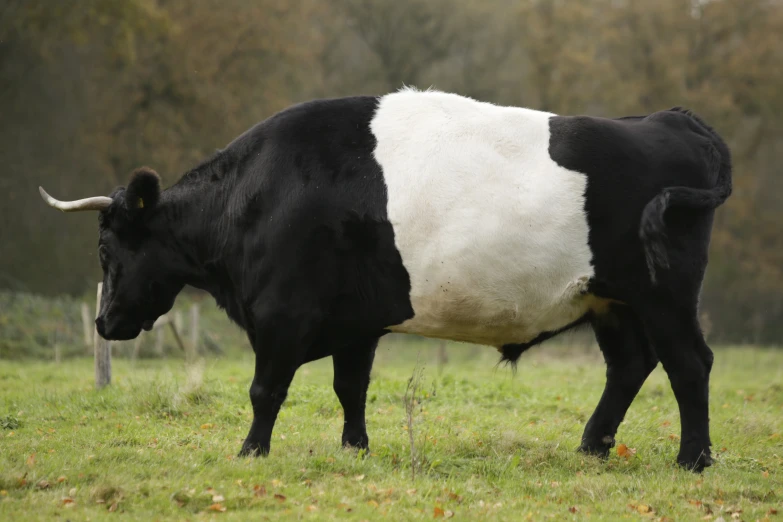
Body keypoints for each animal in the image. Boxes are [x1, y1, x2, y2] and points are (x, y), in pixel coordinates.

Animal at [39, 87, 732, 470]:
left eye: (105, 246)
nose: (104, 321)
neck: (259, 194)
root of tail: (672, 119)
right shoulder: (356, 323)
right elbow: (350, 389)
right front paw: (356, 450)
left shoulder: (282, 315)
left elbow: (266, 390)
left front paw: (250, 452)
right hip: (611, 301)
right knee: (631, 365)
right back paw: (591, 447)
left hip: (665, 295)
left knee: (689, 364)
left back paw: (693, 459)